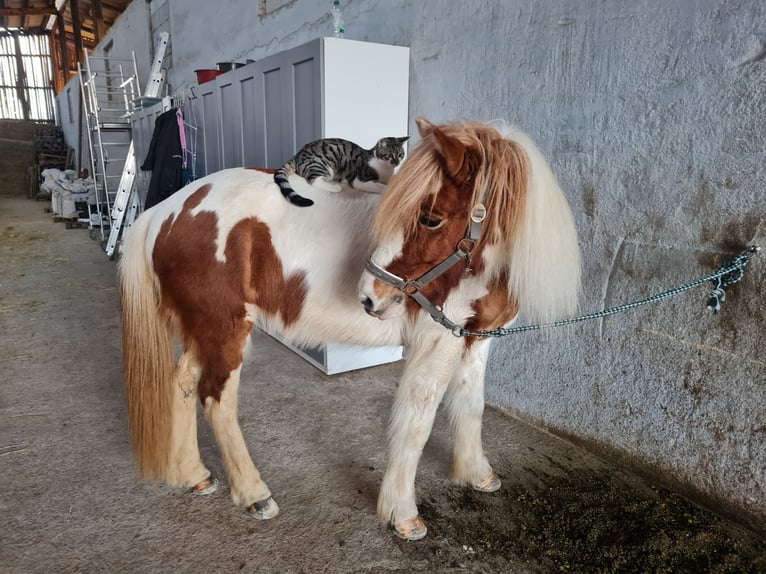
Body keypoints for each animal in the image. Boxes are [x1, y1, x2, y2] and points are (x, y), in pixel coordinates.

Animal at [118, 116, 581, 541]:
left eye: (430, 218)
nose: (369, 298)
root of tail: (167, 210)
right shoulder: (439, 341)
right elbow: (418, 424)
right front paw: (402, 514)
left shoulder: (477, 338)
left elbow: (472, 405)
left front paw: (477, 474)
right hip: (225, 328)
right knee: (216, 400)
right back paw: (254, 494)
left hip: (204, 329)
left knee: (182, 383)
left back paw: (194, 475)